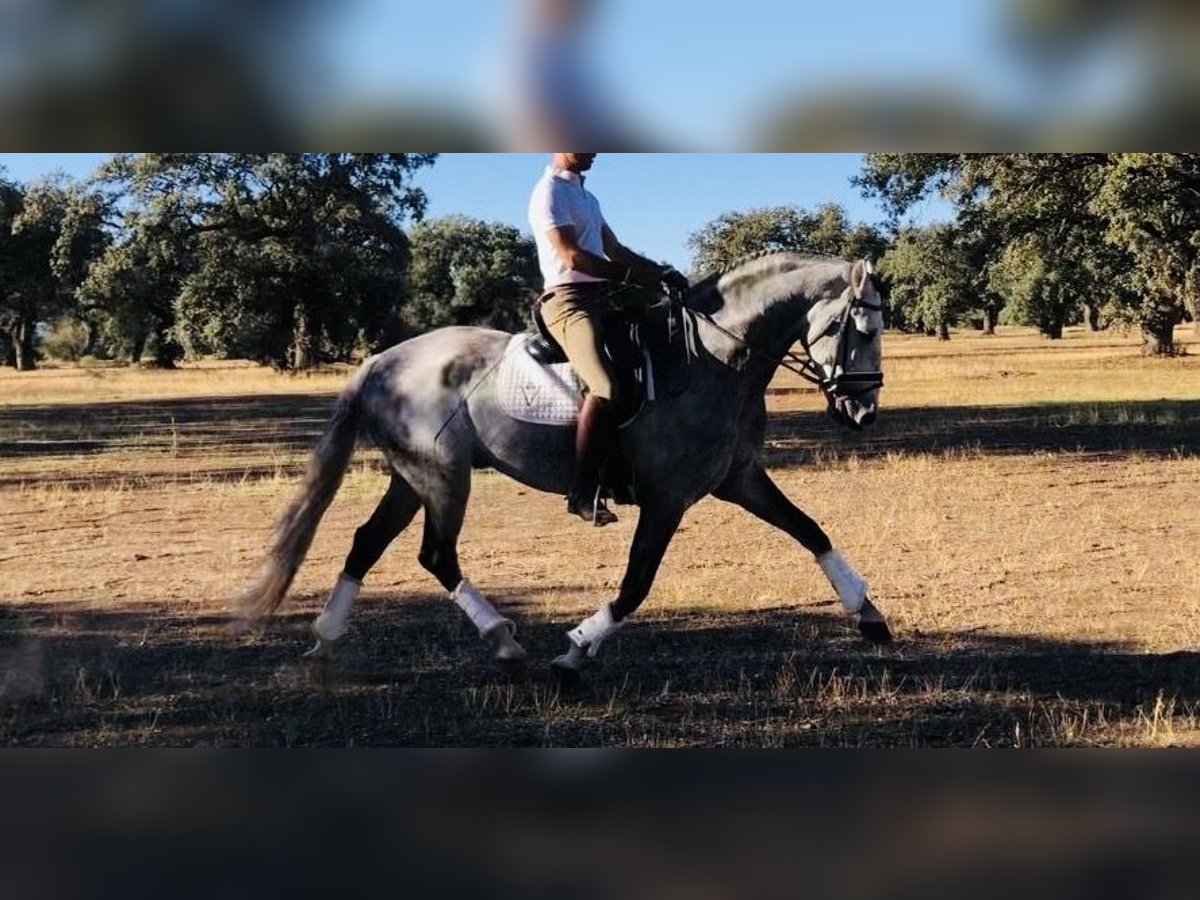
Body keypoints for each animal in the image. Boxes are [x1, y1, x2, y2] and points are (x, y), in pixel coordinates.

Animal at [236, 252, 892, 676]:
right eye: (858, 327)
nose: (862, 411)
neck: (713, 359)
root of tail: (381, 362)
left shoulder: (738, 478)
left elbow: (811, 530)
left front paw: (869, 615)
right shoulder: (667, 497)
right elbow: (636, 582)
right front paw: (577, 647)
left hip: (412, 476)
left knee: (367, 542)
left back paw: (326, 637)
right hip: (444, 477)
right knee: (436, 554)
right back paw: (502, 640)